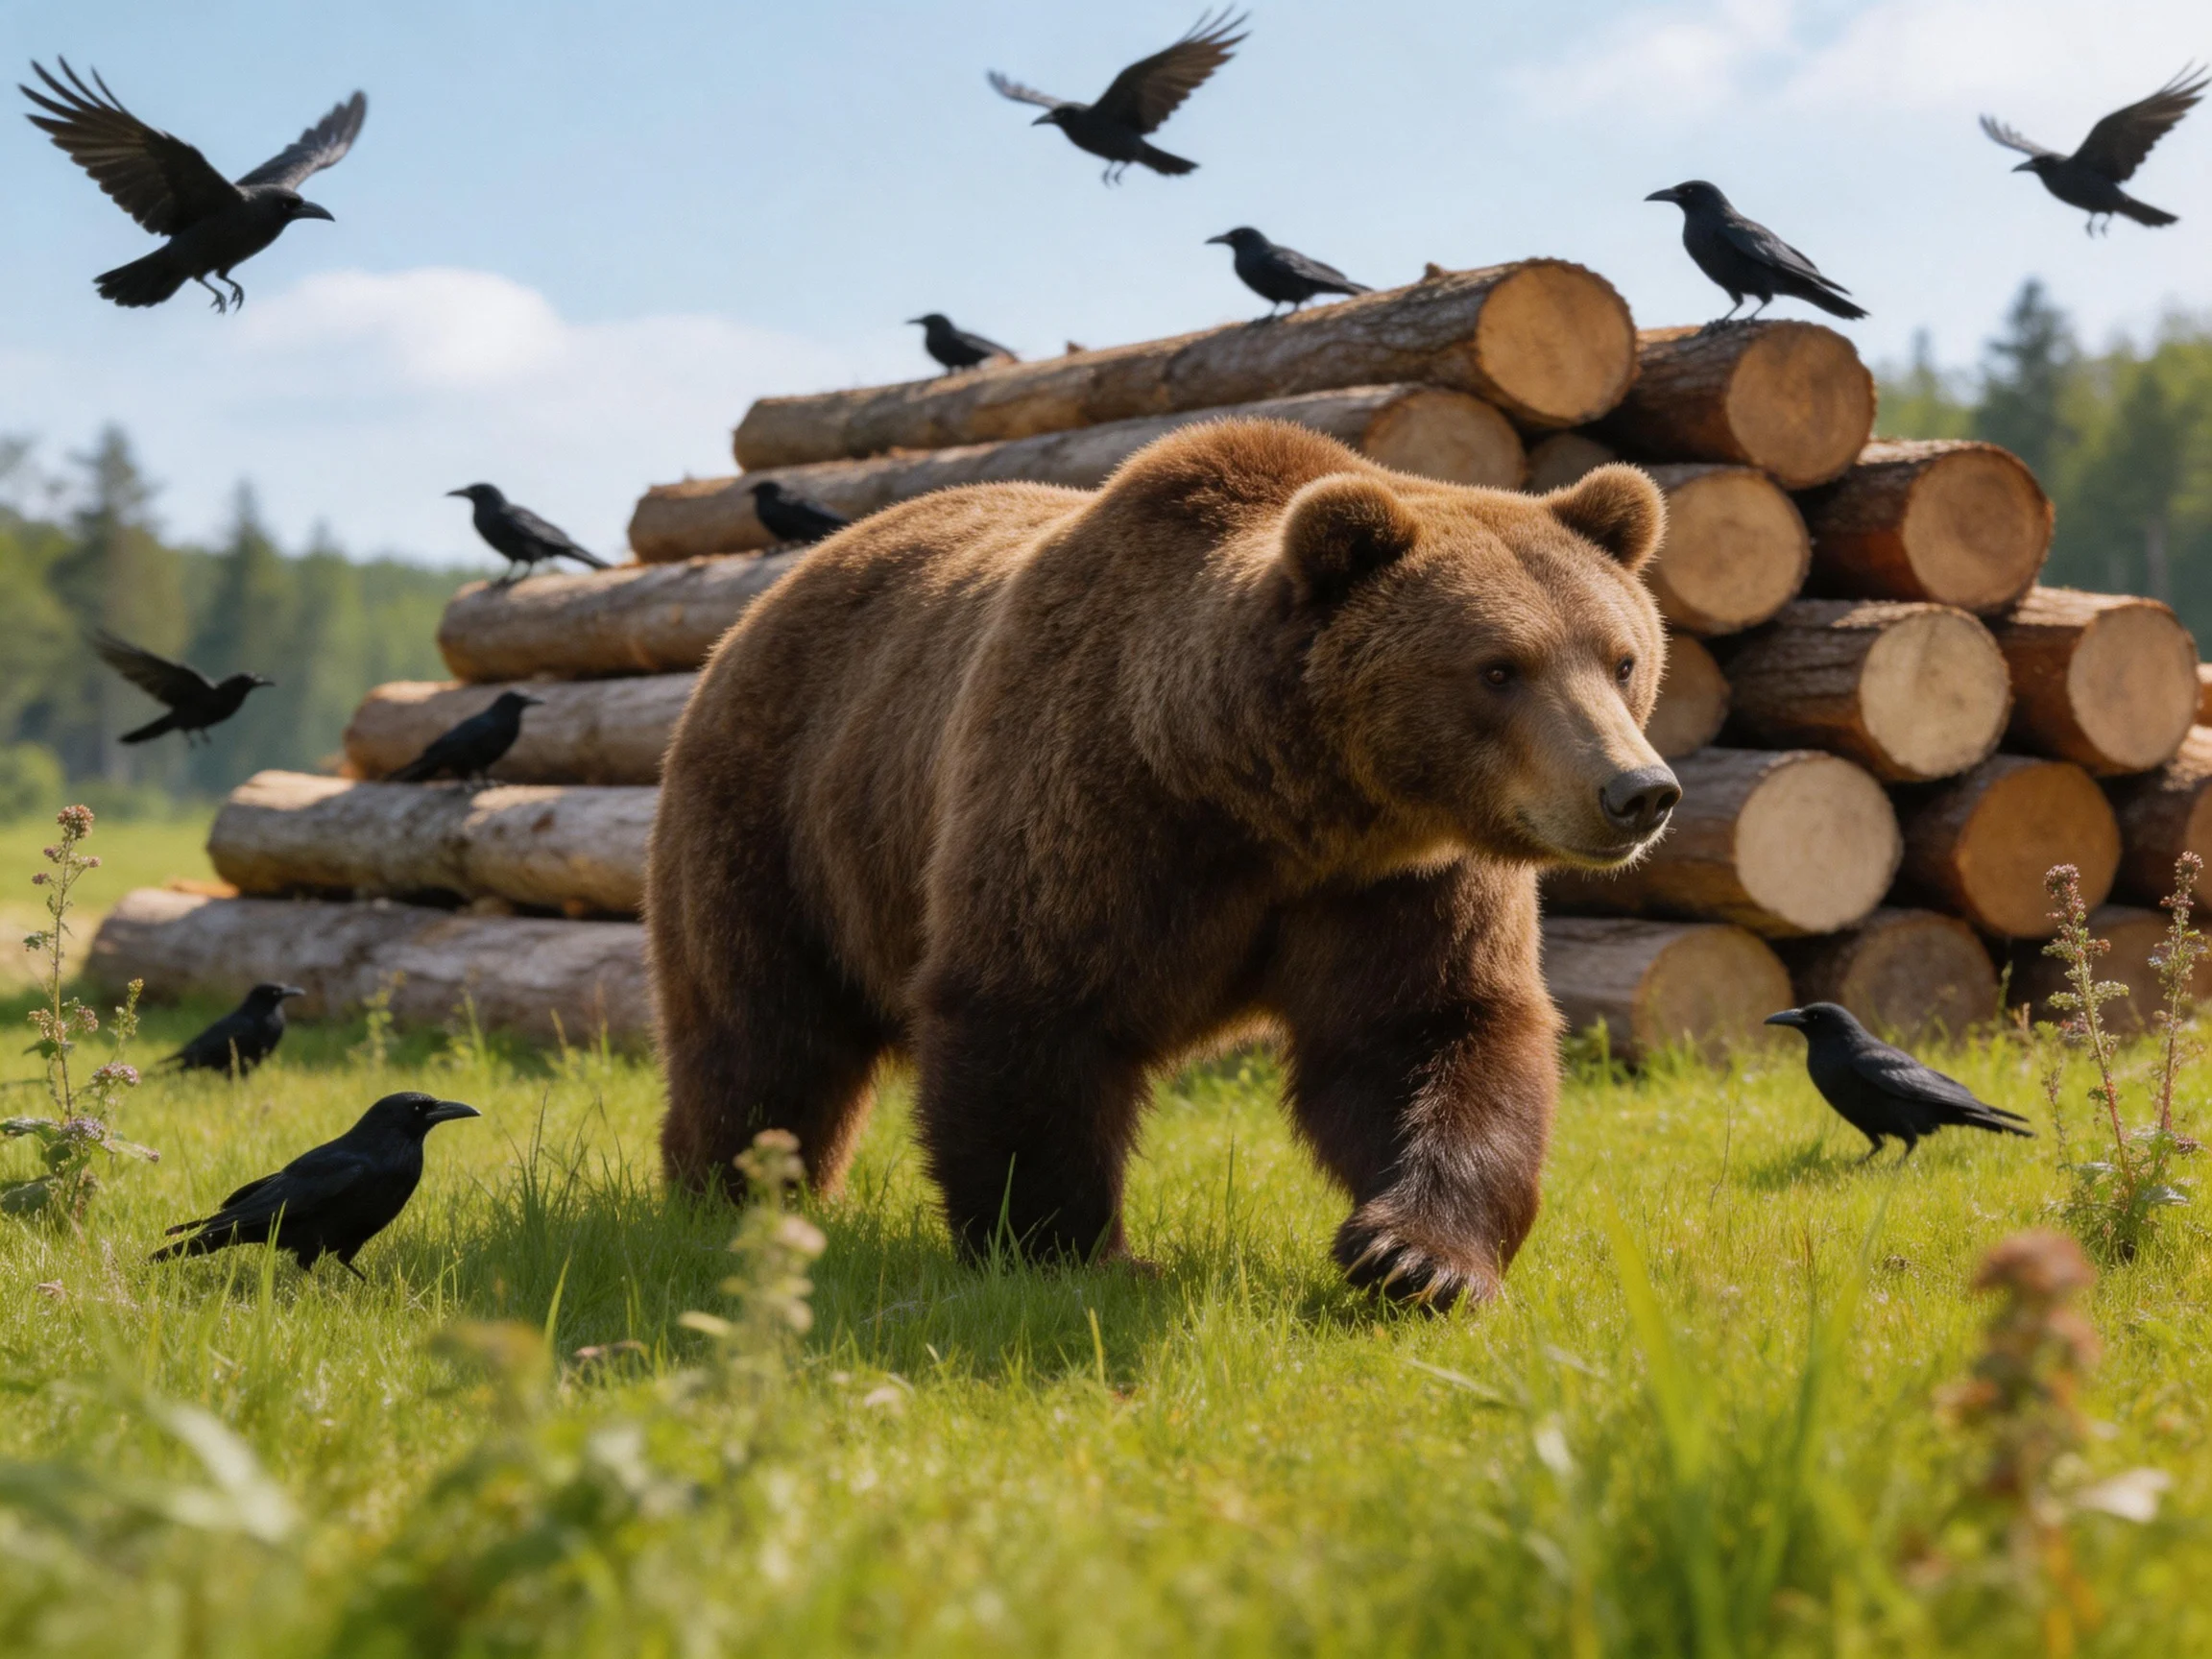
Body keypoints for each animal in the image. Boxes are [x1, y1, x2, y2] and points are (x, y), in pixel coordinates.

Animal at [646, 418, 1677, 1306]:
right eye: (1499, 669)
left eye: (1622, 658)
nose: (1637, 790)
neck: (1275, 804)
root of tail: (758, 609)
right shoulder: (1095, 805)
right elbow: (1030, 1008)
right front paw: (1074, 1254)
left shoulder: (1401, 881)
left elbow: (1429, 1030)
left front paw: (1415, 1257)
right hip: (780, 816)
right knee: (764, 1037)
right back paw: (724, 1198)